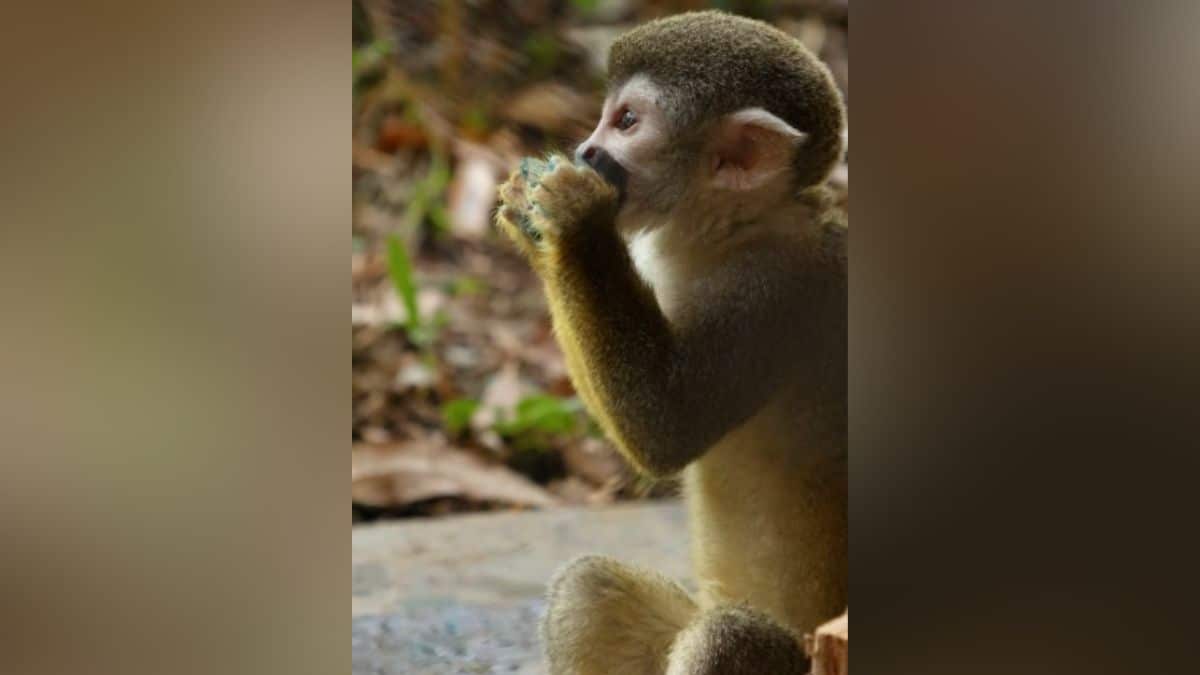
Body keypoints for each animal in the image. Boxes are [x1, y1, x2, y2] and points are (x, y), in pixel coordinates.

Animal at [494, 11, 847, 674]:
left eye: (627, 122)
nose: (584, 150)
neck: (736, 229)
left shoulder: (773, 291)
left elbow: (665, 427)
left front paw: (574, 218)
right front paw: (531, 213)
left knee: (729, 633)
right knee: (590, 591)